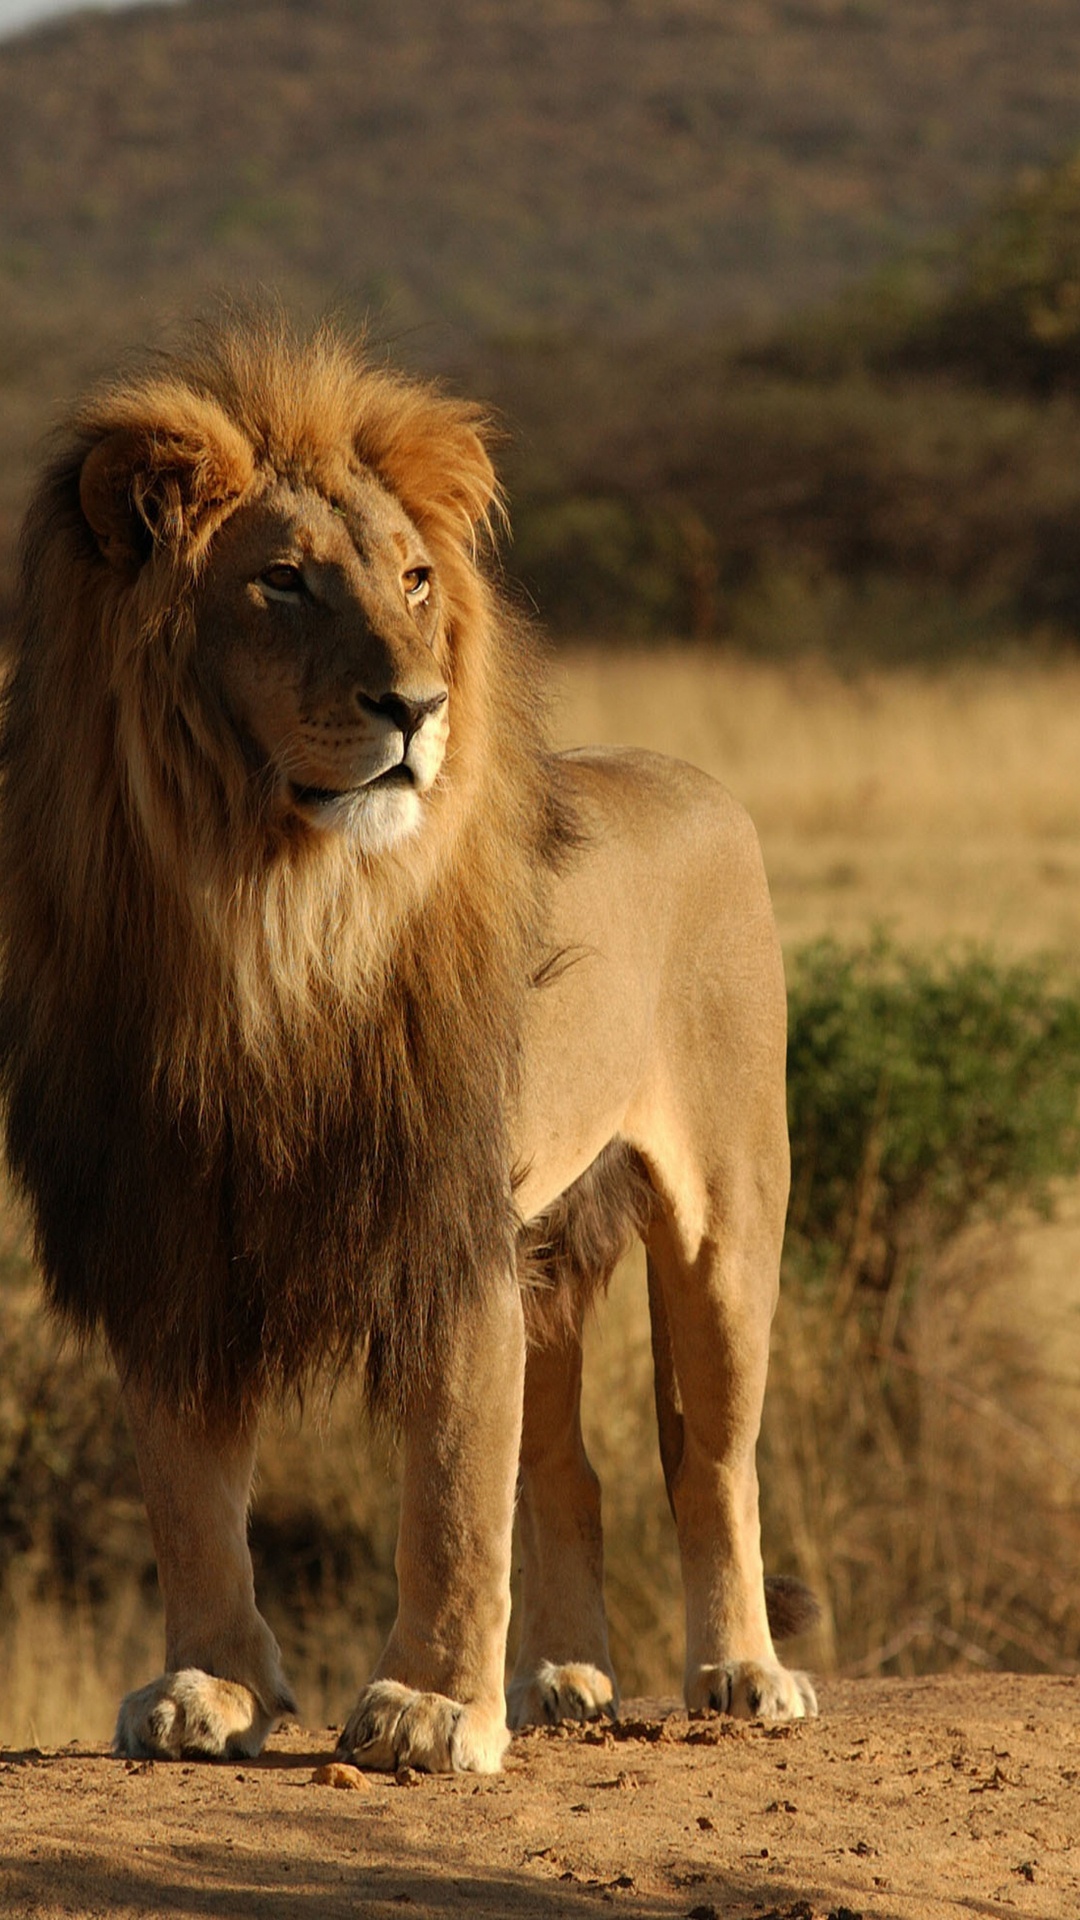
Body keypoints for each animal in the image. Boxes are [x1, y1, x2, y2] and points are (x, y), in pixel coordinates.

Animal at [0, 318, 817, 1772]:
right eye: (280, 584)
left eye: (416, 579)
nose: (417, 707)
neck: (266, 914)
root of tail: (693, 778)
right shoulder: (168, 1225)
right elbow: (189, 1491)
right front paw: (208, 1687)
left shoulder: (444, 1222)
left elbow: (448, 1489)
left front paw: (429, 1707)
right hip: (550, 1248)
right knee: (568, 1469)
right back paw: (563, 1678)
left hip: (726, 1213)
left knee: (712, 1459)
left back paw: (741, 1673)